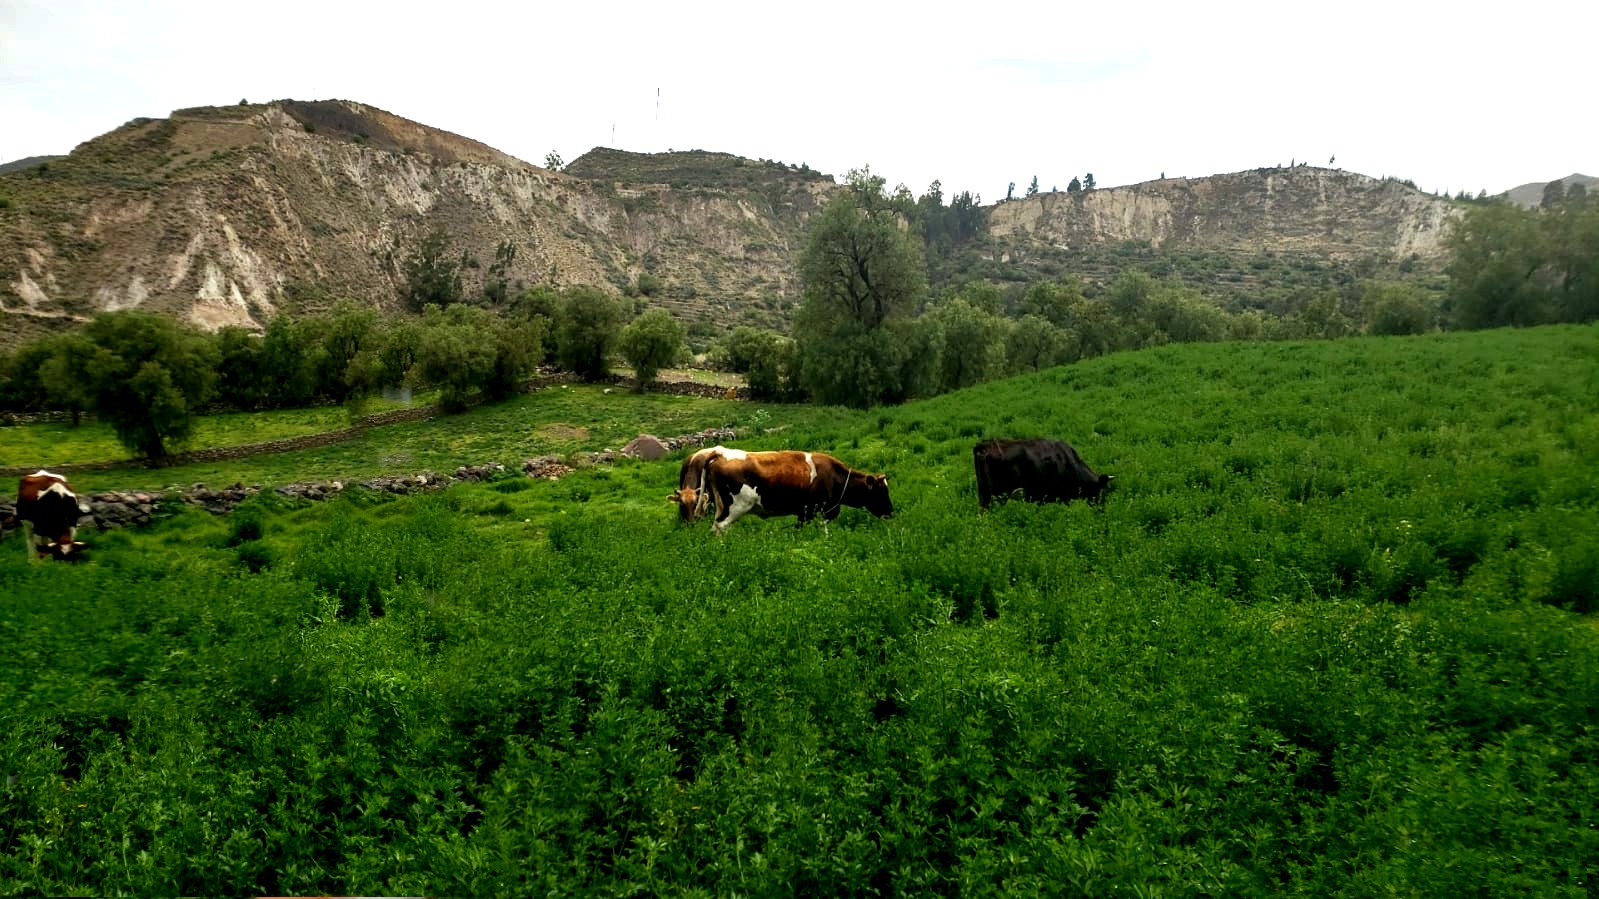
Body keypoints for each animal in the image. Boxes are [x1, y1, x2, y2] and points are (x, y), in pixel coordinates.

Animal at [706, 447, 895, 531]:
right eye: (881, 492)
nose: (892, 513)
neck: (835, 477)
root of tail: (720, 454)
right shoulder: (817, 511)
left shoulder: (803, 513)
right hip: (735, 507)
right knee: (720, 527)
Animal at [972, 435, 1112, 508]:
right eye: (1101, 493)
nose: (1102, 510)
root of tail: (984, 446)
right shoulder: (1062, 495)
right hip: (1000, 493)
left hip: (983, 492)